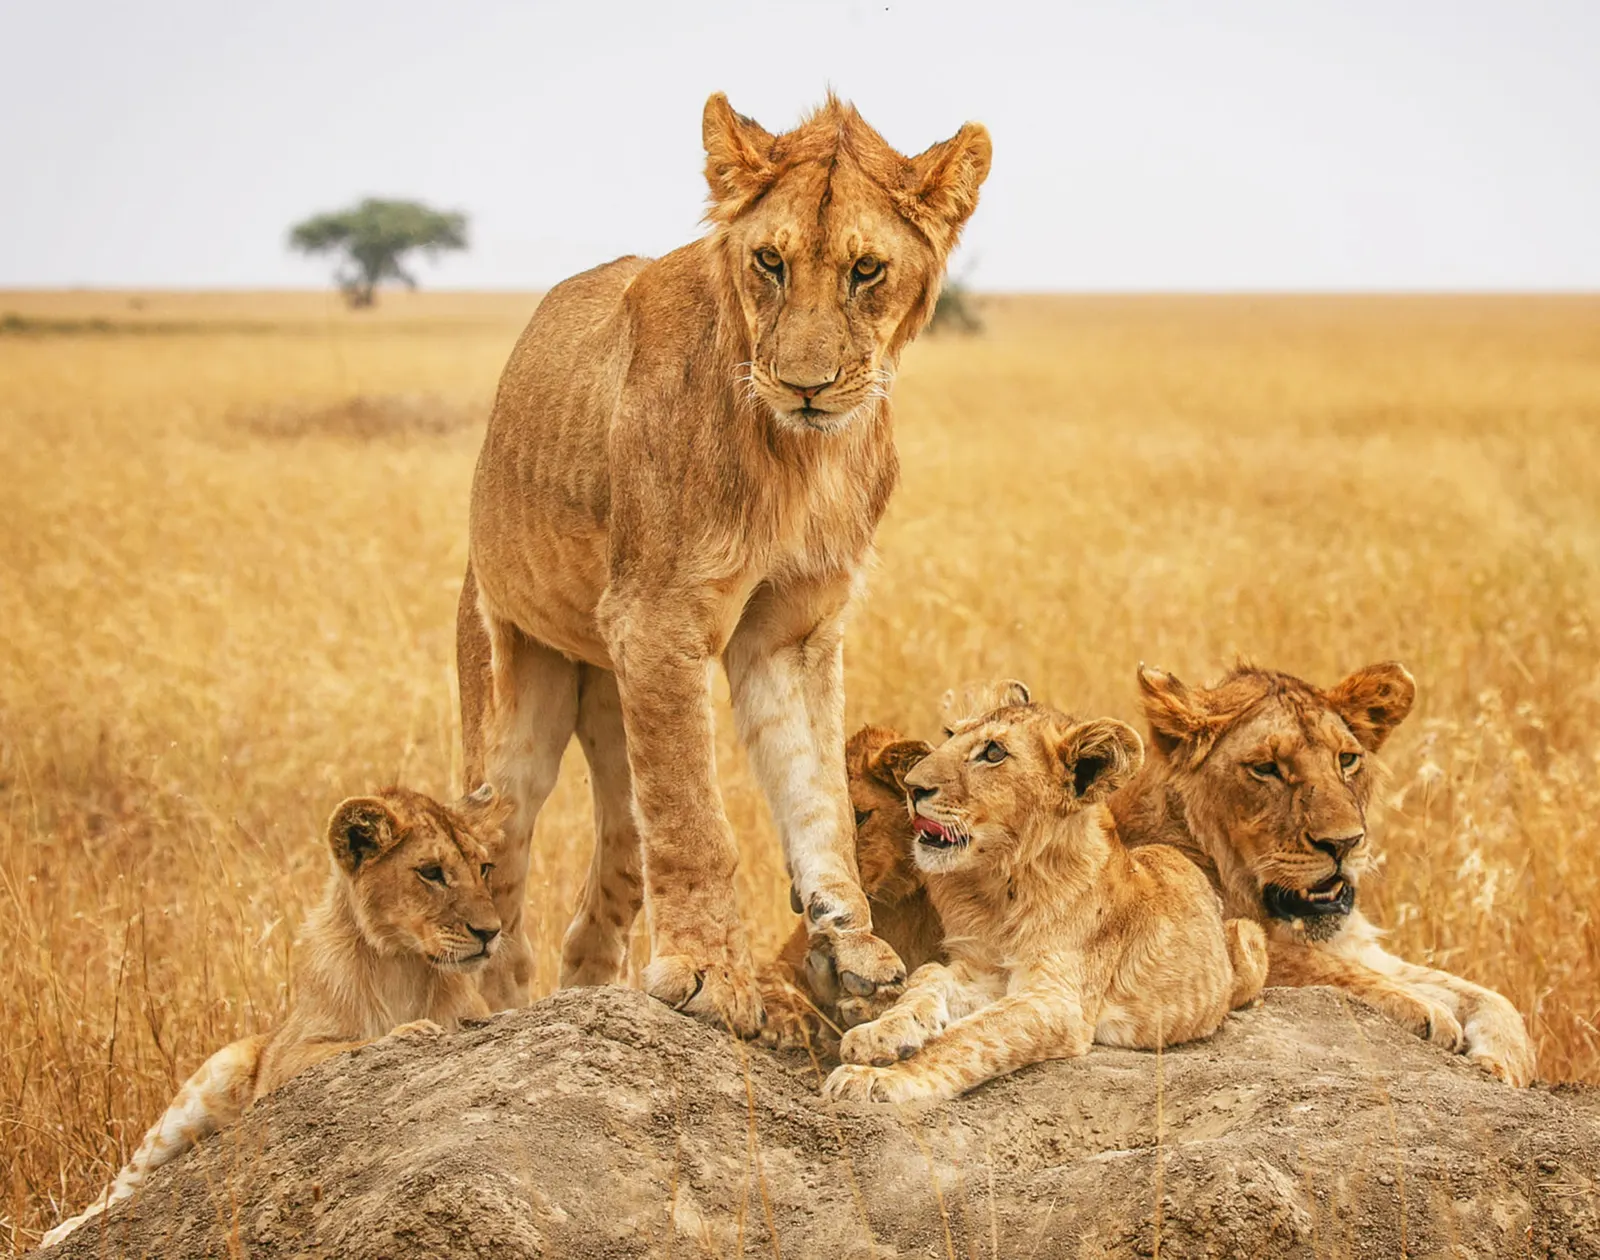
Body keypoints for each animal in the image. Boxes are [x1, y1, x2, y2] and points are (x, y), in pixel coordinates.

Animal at [42, 787, 505, 1247]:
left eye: (484, 868)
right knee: (127, 1181)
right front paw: (411, 1029)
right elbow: (358, 1042)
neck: (404, 964)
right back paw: (60, 1231)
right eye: (431, 872)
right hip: (206, 1085)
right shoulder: (288, 1056)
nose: (491, 932)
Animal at [824, 687, 1267, 1103]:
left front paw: (877, 1078)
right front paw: (878, 1033)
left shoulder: (1057, 1000)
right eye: (950, 735)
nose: (912, 787)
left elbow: (968, 1038)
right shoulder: (980, 970)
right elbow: (925, 981)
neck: (999, 887)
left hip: (1249, 938)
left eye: (993, 752)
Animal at [1111, 661, 1536, 1087]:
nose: (1343, 843)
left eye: (1347, 759)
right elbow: (1314, 966)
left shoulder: (1358, 947)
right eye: (1265, 768)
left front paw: (1502, 1062)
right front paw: (1427, 1010)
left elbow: (1487, 996)